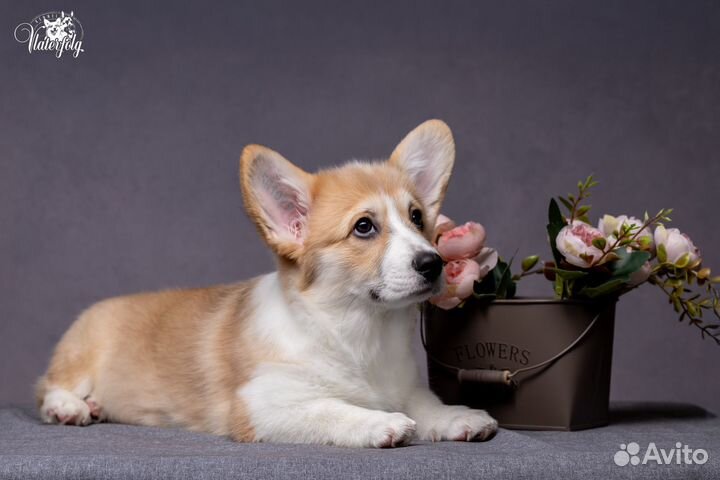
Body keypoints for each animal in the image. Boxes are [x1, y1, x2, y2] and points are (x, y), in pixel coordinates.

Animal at [36, 119, 498, 446]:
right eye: (364, 227)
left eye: (417, 217)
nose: (434, 263)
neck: (358, 329)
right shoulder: (262, 405)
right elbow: (331, 409)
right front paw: (381, 422)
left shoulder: (405, 384)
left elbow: (425, 401)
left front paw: (457, 416)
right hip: (81, 353)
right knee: (48, 387)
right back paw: (70, 407)